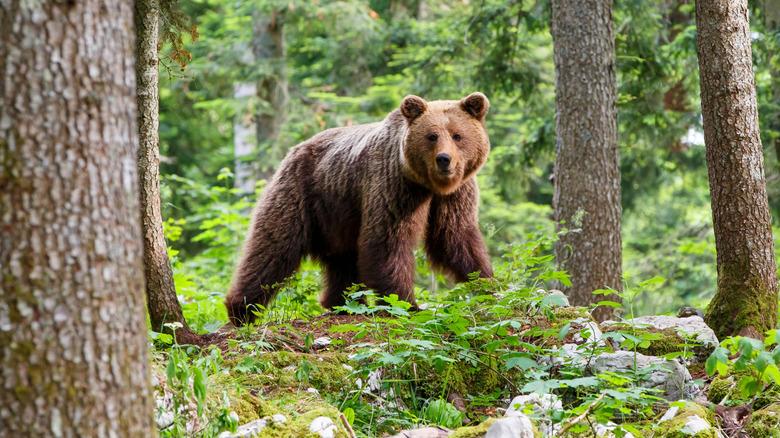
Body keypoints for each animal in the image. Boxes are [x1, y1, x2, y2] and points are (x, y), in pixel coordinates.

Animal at [225, 92, 494, 326]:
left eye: (457, 135)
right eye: (431, 136)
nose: (444, 160)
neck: (427, 184)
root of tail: (294, 150)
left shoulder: (455, 194)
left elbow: (455, 236)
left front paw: (486, 284)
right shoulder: (393, 185)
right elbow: (387, 239)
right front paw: (406, 304)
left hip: (337, 215)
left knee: (343, 261)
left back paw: (342, 303)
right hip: (300, 193)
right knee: (273, 247)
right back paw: (242, 310)